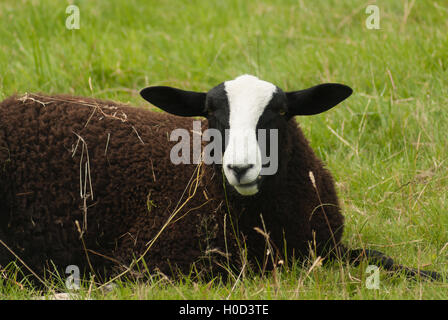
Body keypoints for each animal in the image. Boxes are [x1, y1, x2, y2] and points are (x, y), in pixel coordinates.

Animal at [0, 75, 440, 284]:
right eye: (210, 113)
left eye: (281, 112)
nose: (239, 168)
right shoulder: (150, 259)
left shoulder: (324, 247)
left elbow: (378, 257)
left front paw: (430, 276)